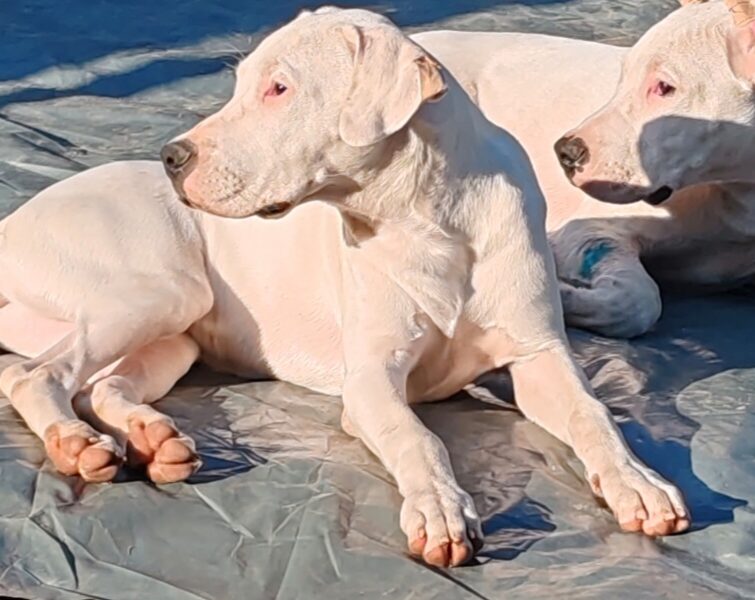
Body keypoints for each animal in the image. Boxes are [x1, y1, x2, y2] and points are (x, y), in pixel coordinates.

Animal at [0, 7, 688, 568]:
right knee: (35, 375)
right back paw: (77, 443)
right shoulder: (372, 381)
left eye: (279, 88)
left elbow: (594, 414)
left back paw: (153, 438)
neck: (429, 220)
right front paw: (441, 507)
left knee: (97, 383)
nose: (172, 158)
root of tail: (13, 221)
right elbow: (419, 436)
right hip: (160, 289)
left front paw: (638, 482)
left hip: (176, 333)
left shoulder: (539, 354)